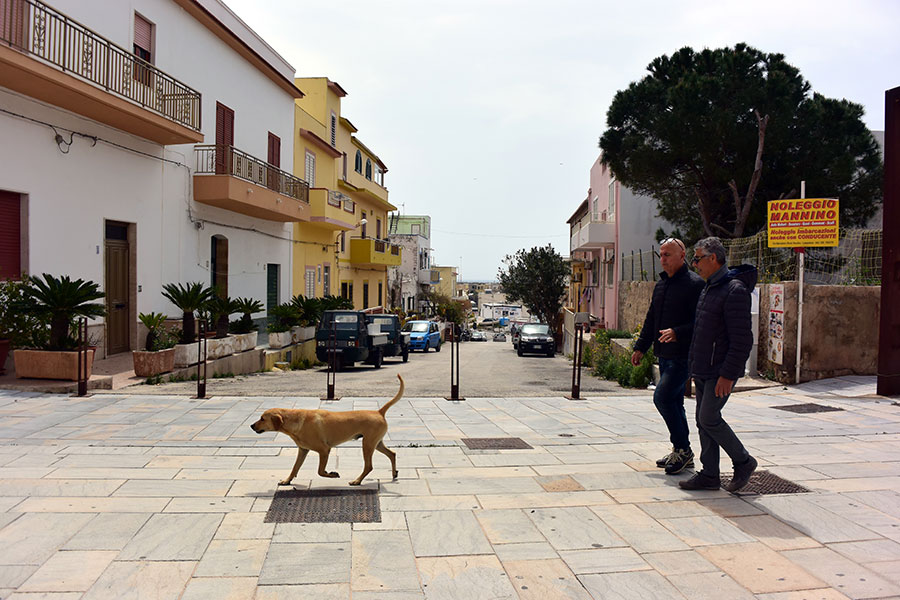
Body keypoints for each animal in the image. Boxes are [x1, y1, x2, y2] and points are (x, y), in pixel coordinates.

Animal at [250, 376, 404, 488]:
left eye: (262, 418)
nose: (251, 426)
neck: (296, 420)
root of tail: (379, 411)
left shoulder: (324, 450)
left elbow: (320, 471)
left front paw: (332, 474)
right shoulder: (303, 450)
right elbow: (295, 468)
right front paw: (287, 481)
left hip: (367, 444)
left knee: (369, 466)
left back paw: (357, 481)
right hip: (376, 443)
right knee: (392, 454)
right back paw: (394, 473)